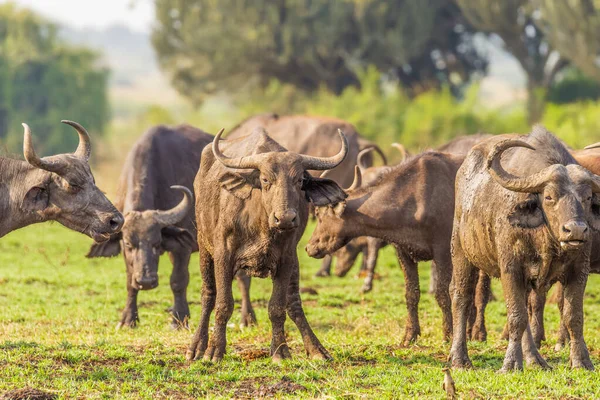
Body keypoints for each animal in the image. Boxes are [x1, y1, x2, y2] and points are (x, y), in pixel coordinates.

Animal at [186, 127, 346, 362]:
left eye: (300, 180)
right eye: (264, 179)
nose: (285, 218)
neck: (261, 223)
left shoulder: (286, 258)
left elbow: (277, 307)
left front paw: (280, 351)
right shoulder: (223, 254)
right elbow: (223, 303)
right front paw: (215, 351)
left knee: (294, 302)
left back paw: (317, 349)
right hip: (204, 245)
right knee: (208, 294)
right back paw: (197, 346)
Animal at [448, 126, 596, 372]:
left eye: (587, 197)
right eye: (549, 197)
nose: (575, 230)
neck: (546, 241)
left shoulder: (579, 270)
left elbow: (573, 316)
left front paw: (582, 362)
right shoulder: (511, 269)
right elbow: (515, 317)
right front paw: (510, 364)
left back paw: (536, 360)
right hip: (460, 250)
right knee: (461, 296)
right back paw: (460, 359)